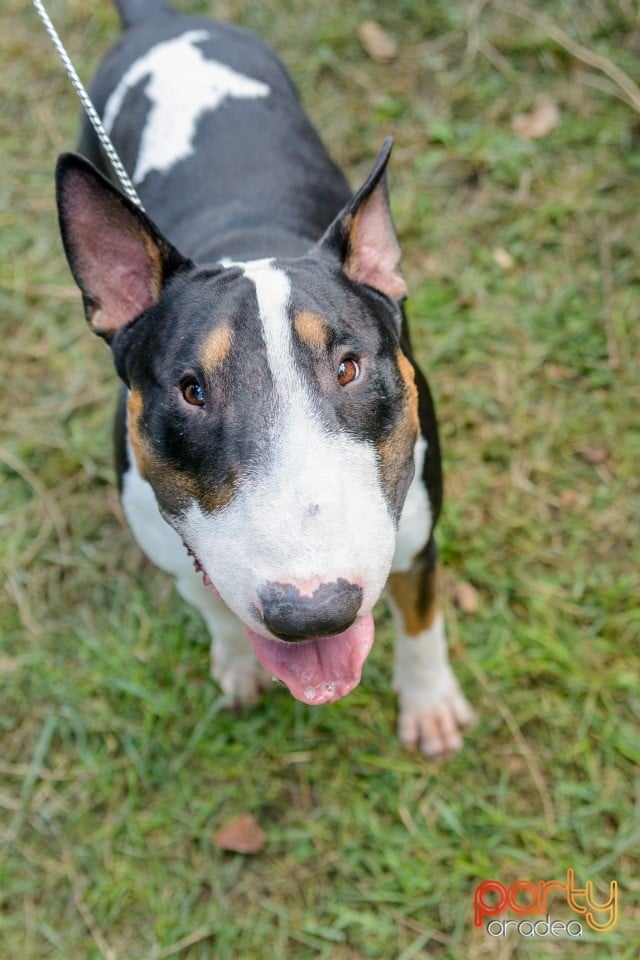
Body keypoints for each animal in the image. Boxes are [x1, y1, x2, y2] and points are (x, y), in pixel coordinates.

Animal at [55, 0, 472, 756]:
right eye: (192, 391)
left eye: (349, 367)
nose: (313, 613)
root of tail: (158, 20)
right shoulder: (176, 551)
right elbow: (215, 609)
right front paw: (238, 667)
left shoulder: (419, 534)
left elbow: (422, 615)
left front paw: (429, 704)